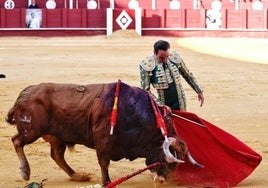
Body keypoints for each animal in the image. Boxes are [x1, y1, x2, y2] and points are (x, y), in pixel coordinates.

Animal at [5, 81, 199, 187]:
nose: (162, 181)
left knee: (57, 155)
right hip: (32, 130)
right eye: (167, 159)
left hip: (57, 136)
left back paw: (78, 176)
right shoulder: (103, 140)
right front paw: (107, 182)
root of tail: (25, 94)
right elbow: (104, 163)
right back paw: (25, 172)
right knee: (17, 140)